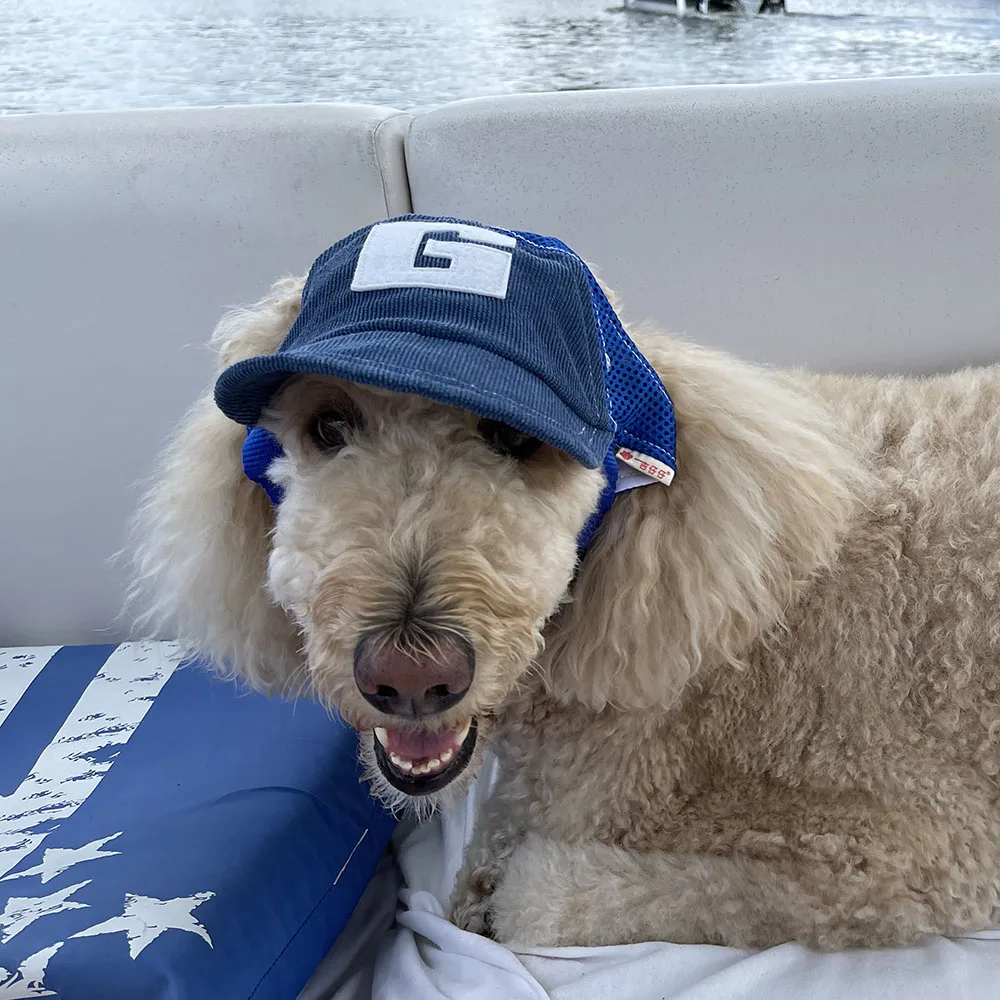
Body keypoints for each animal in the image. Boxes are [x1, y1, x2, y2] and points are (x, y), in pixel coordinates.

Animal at [131, 215, 1000, 948]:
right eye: (328, 428)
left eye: (516, 439)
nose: (410, 675)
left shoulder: (910, 854)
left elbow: (542, 893)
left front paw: (501, 893)